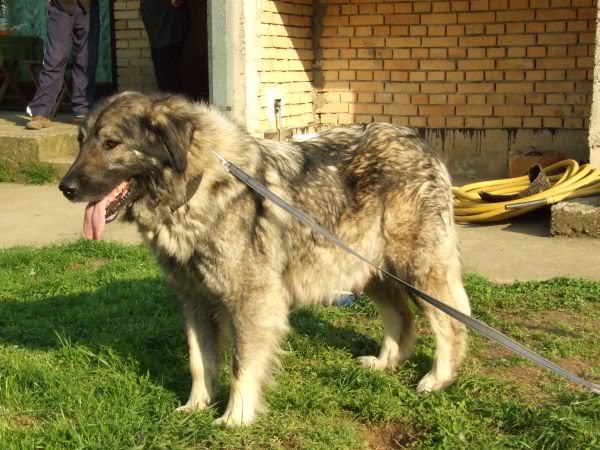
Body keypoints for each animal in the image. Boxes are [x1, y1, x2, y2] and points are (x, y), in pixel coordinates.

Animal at [62, 92, 474, 426]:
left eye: (111, 143)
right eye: (81, 142)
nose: (66, 188)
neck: (196, 186)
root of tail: (420, 141)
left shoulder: (251, 301)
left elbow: (240, 364)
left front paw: (235, 417)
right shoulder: (194, 302)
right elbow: (199, 360)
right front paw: (196, 406)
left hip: (417, 269)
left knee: (450, 322)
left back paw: (438, 379)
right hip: (367, 267)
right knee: (401, 317)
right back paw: (385, 362)